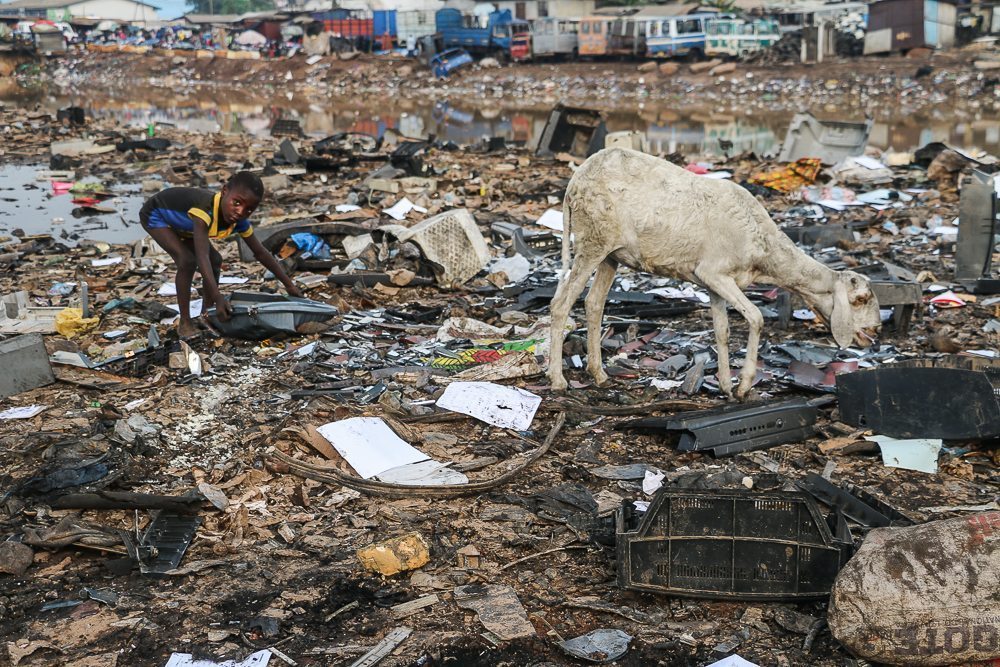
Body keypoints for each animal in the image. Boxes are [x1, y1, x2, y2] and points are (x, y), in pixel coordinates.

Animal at [548, 149, 884, 400]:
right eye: (860, 299)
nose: (877, 332)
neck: (765, 249)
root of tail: (575, 180)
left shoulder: (712, 282)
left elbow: (722, 330)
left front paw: (724, 384)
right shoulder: (716, 273)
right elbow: (755, 319)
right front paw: (744, 385)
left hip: (610, 254)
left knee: (593, 304)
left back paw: (599, 373)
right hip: (593, 239)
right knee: (560, 304)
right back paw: (557, 379)